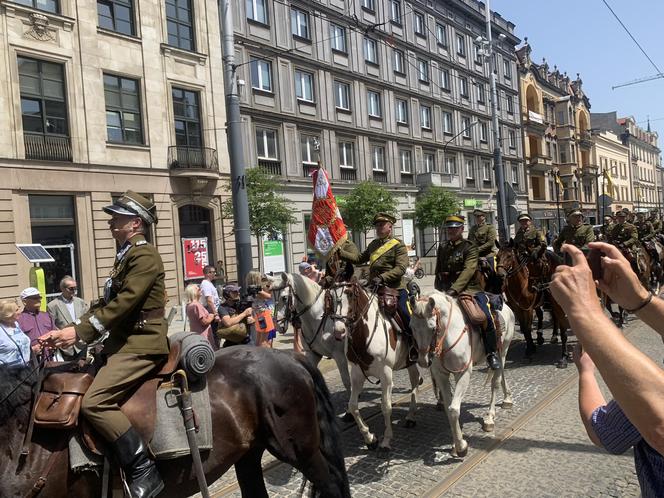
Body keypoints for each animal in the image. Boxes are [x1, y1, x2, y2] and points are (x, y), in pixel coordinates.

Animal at [342, 280, 420, 452]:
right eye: (328, 296)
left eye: (349, 294)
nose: (339, 329)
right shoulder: (357, 373)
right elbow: (353, 405)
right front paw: (369, 438)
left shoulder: (386, 374)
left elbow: (386, 406)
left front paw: (386, 440)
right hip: (409, 360)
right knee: (416, 379)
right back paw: (412, 415)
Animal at [410, 292, 512, 460]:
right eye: (412, 327)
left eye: (432, 327)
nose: (423, 361)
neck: (448, 334)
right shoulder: (441, 375)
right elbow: (449, 408)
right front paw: (456, 444)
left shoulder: (463, 374)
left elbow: (453, 409)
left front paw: (460, 447)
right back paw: (507, 398)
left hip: (502, 352)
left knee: (495, 382)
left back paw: (490, 418)